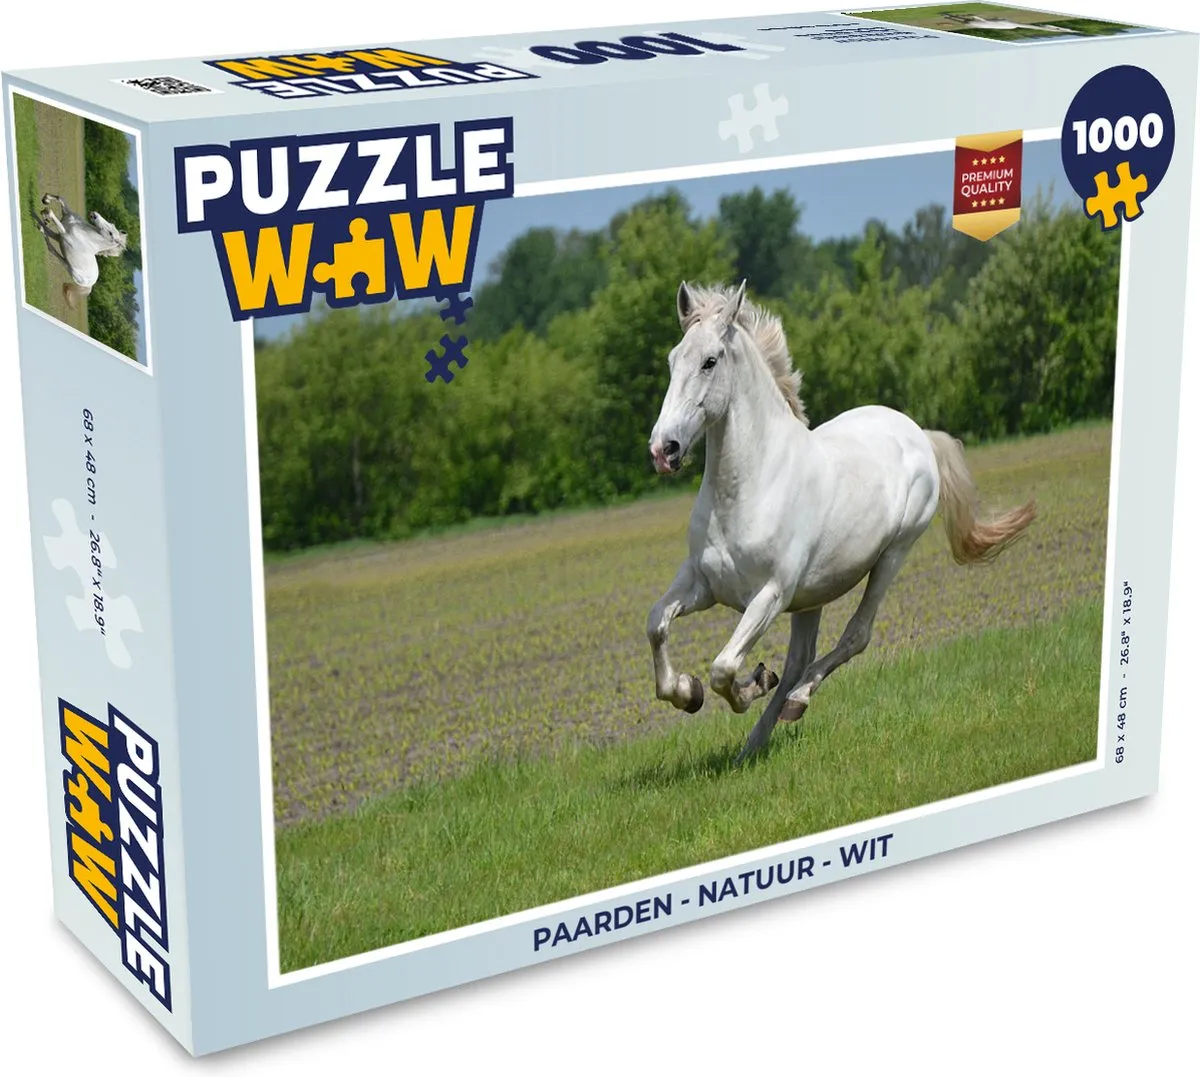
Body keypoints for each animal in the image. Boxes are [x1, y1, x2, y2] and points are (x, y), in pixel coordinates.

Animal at [646, 281, 1036, 762]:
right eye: (672, 359)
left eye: (710, 361)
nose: (663, 449)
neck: (749, 489)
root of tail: (917, 433)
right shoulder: (702, 584)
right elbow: (657, 625)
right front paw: (688, 692)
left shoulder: (770, 594)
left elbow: (723, 668)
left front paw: (749, 683)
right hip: (810, 597)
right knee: (800, 658)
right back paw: (753, 745)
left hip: (891, 556)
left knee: (854, 637)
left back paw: (796, 700)